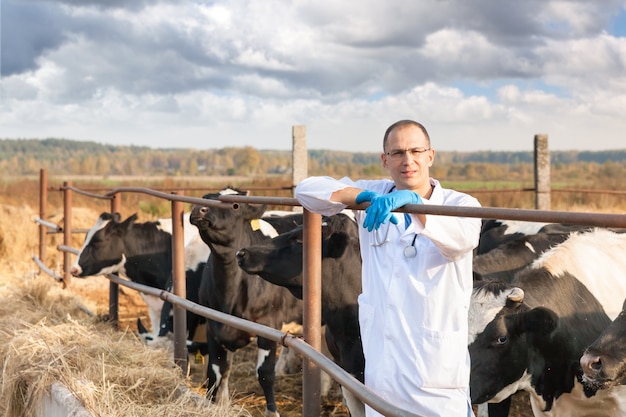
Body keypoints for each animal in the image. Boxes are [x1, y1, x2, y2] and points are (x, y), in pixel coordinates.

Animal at [191, 188, 306, 416]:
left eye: (236, 205)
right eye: (205, 198)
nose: (199, 209)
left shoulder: (268, 325)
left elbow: (264, 373)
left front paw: (272, 412)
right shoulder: (213, 326)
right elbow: (215, 372)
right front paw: (214, 404)